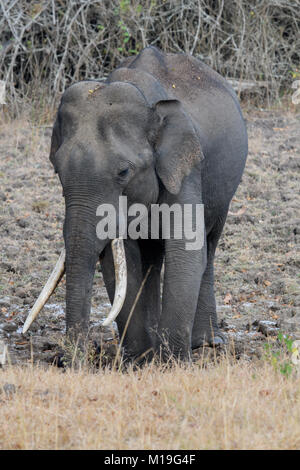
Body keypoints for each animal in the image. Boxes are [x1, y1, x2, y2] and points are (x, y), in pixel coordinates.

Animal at [22, 46, 248, 362]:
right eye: (57, 170)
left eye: (123, 172)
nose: (68, 360)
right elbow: (120, 260)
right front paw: (139, 360)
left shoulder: (185, 169)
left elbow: (186, 250)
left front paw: (171, 363)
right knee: (151, 258)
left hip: (224, 189)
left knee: (210, 245)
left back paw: (206, 343)